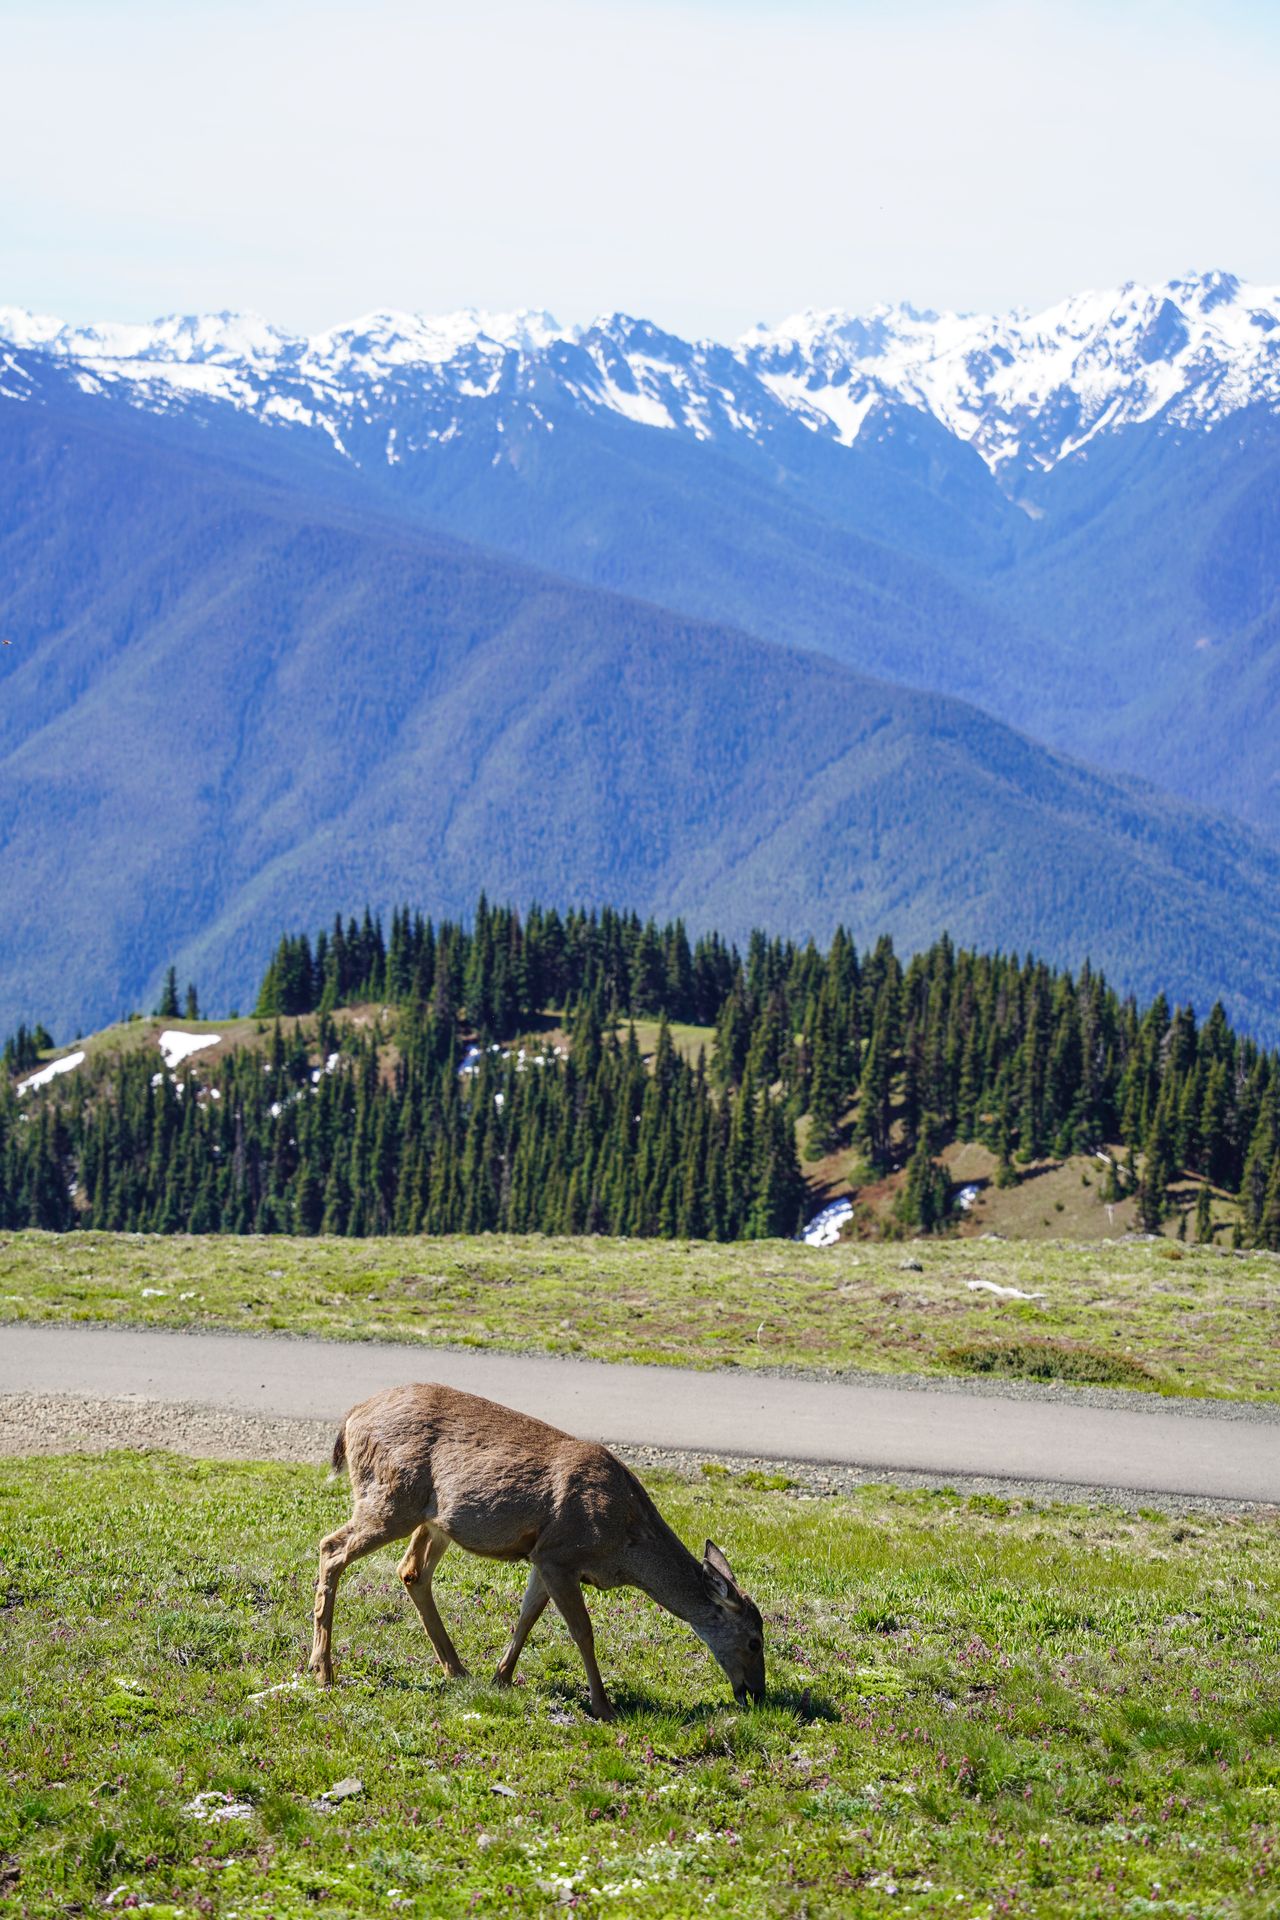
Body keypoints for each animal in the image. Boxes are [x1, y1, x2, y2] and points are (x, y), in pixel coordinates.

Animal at [309, 1381, 766, 1721]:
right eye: (754, 1642)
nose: (757, 1694)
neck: (623, 1544)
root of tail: (352, 1417)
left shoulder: (544, 1556)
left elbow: (526, 1618)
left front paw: (501, 1677)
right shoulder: (560, 1554)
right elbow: (582, 1631)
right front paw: (603, 1706)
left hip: (431, 1519)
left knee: (410, 1571)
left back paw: (457, 1669)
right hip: (391, 1498)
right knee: (331, 1548)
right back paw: (323, 1670)